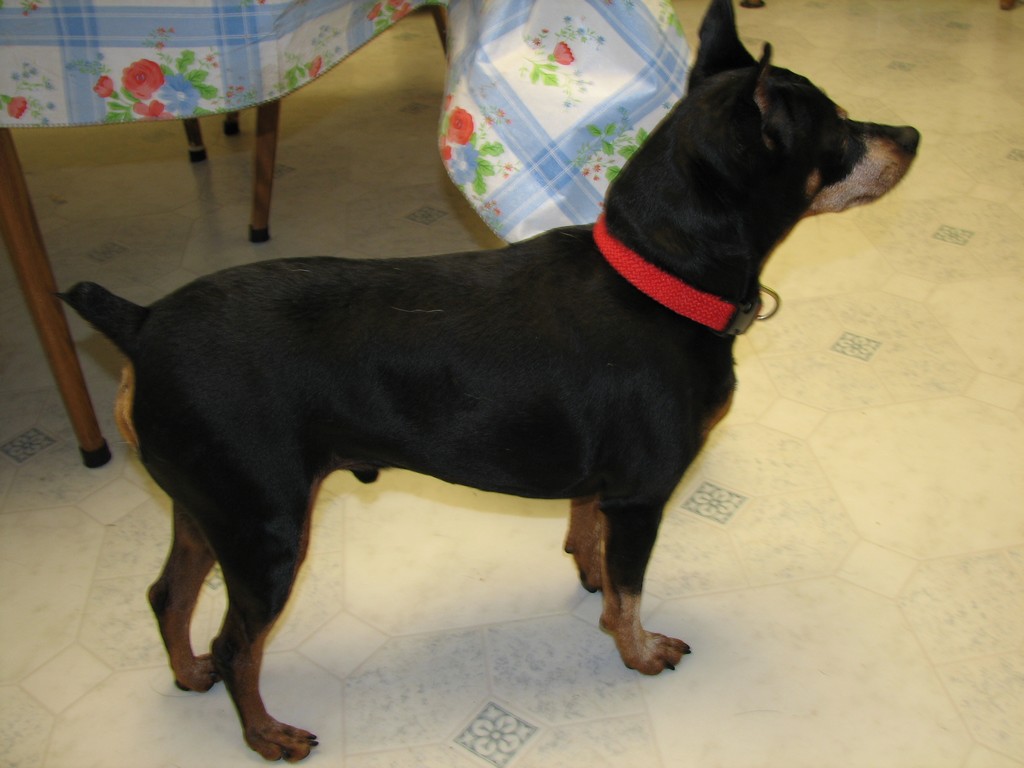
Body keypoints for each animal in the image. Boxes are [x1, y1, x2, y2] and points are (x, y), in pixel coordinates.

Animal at [61, 0, 919, 760]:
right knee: (237, 642)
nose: (910, 133)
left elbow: (590, 539)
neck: (656, 276)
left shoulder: (607, 488)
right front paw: (639, 652)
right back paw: (266, 734)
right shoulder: (643, 496)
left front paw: (588, 575)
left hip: (208, 508)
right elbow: (632, 592)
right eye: (842, 128)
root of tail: (141, 323)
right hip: (265, 528)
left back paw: (187, 674)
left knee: (167, 596)